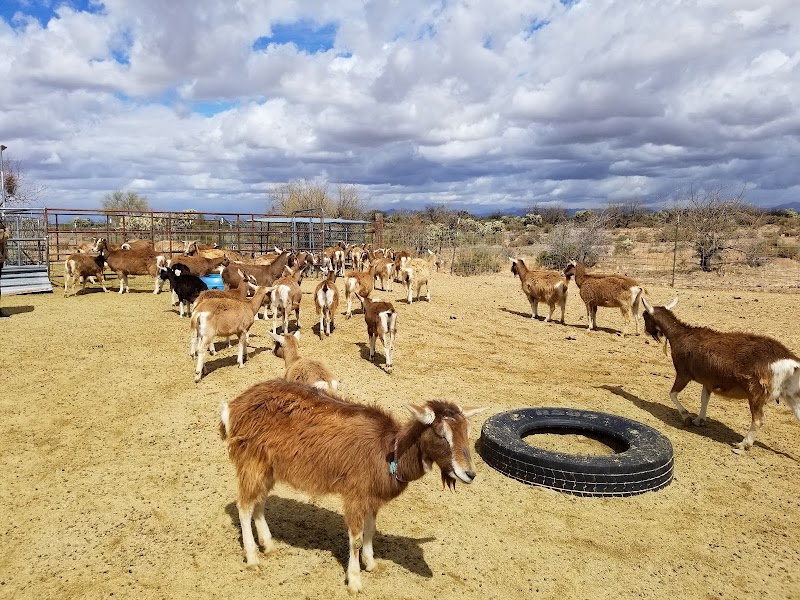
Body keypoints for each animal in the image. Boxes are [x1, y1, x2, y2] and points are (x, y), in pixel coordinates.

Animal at [219, 379, 486, 593]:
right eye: (441, 433)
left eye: (467, 431)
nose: (470, 474)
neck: (389, 452)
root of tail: (232, 407)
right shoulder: (355, 494)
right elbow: (356, 538)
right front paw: (355, 582)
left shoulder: (372, 497)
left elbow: (371, 530)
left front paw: (370, 563)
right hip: (251, 460)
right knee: (244, 506)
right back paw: (253, 557)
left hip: (268, 466)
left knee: (259, 501)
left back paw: (268, 545)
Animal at [642, 297, 800, 451]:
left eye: (644, 316)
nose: (646, 332)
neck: (680, 335)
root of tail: (789, 361)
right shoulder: (708, 380)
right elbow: (704, 399)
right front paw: (699, 420)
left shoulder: (683, 374)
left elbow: (672, 394)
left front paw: (687, 417)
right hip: (791, 394)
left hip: (756, 393)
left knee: (758, 419)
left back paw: (743, 444)